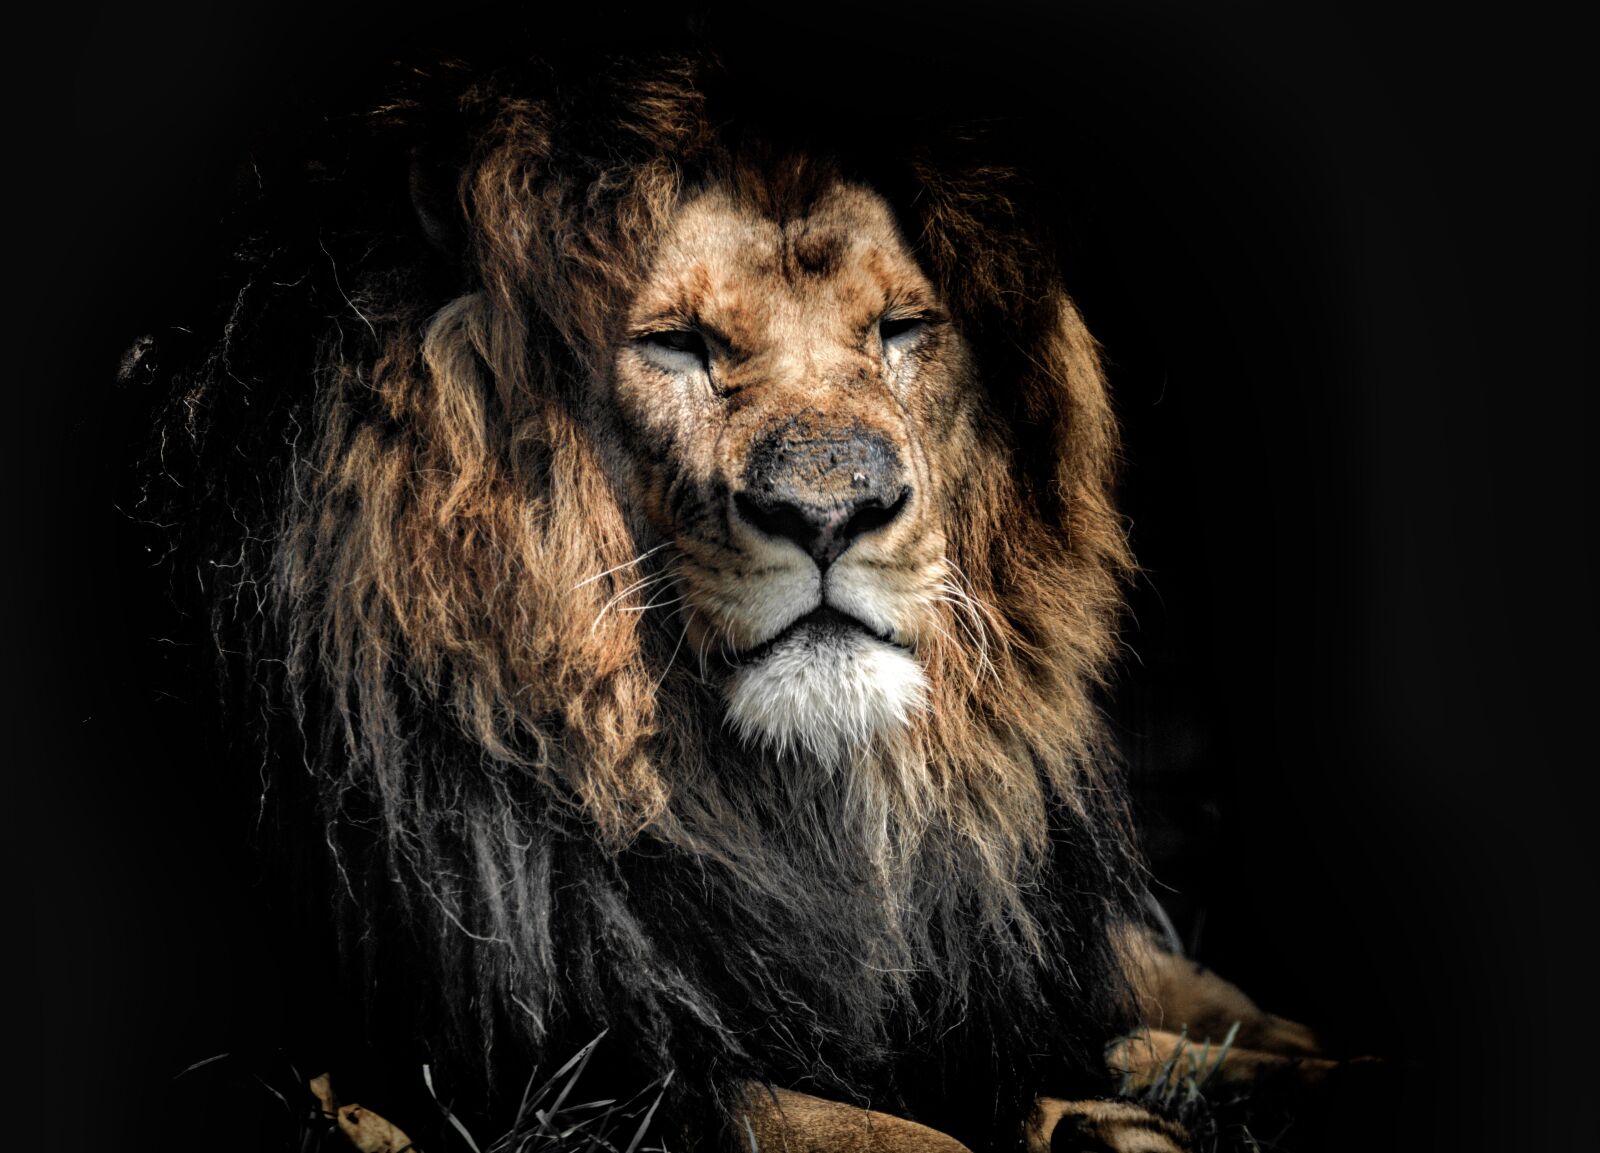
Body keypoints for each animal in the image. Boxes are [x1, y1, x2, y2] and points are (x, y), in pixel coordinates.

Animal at [137, 39, 1344, 1153]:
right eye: (676, 343)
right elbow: (897, 1133)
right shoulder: (584, 1082)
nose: (831, 514)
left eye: (901, 329)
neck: (785, 807)